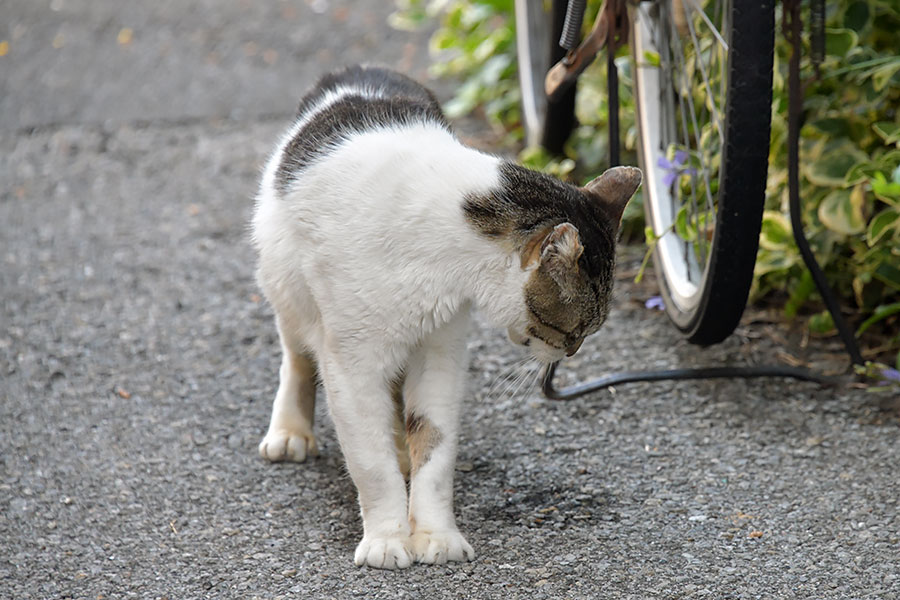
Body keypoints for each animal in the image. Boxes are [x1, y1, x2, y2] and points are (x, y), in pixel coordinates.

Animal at [251, 67, 640, 572]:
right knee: (297, 356)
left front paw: (435, 534)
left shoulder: (440, 351)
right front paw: (387, 539)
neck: (438, 252)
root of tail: (359, 70)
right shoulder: (353, 365)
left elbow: (434, 449)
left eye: (584, 334)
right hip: (287, 289)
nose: (571, 352)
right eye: (569, 329)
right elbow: (370, 461)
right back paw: (290, 431)